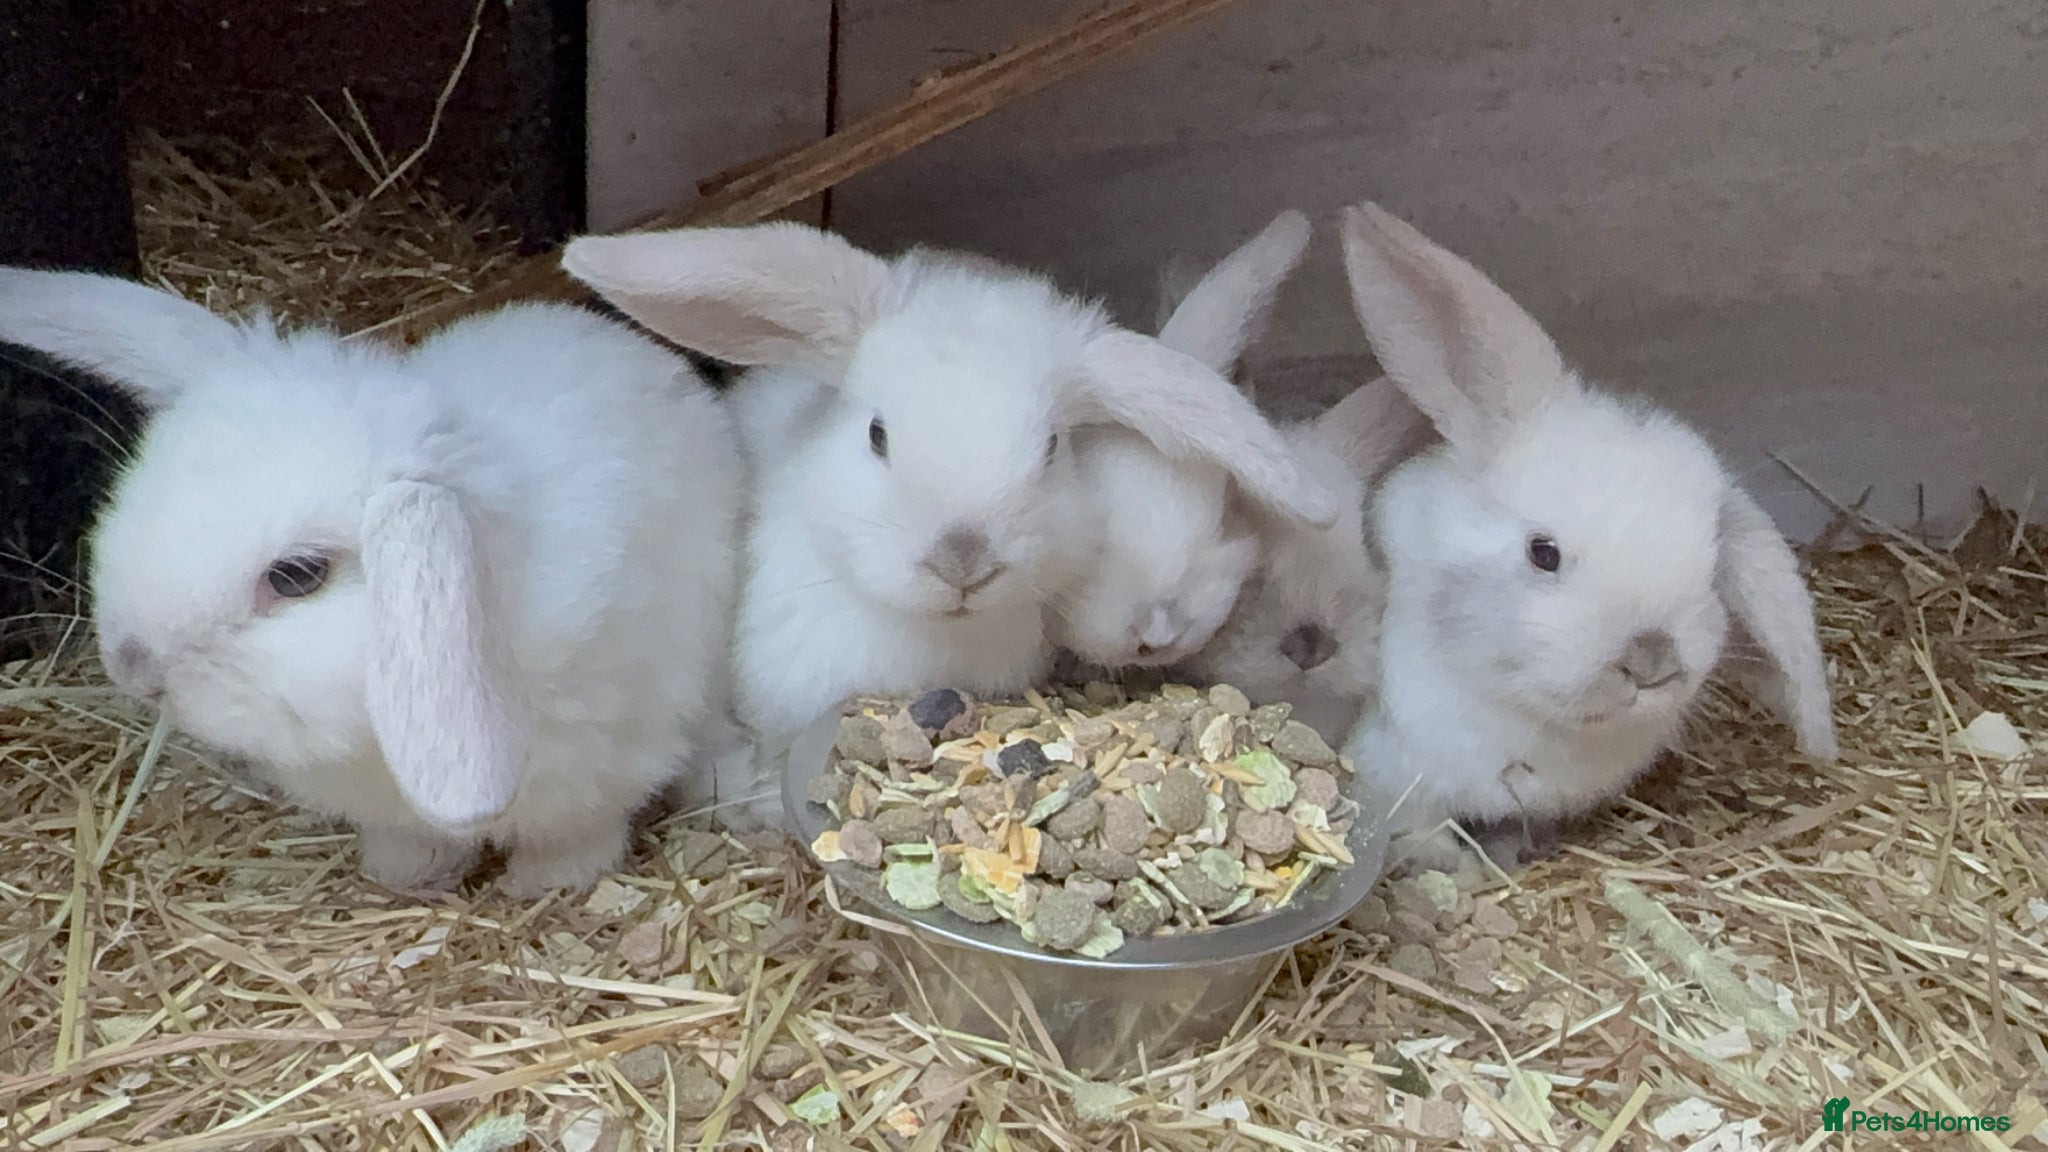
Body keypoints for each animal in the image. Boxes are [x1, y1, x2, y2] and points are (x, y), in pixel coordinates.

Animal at [0, 269, 745, 896]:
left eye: (296, 577)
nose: (130, 666)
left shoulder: (607, 762)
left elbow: (578, 837)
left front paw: (543, 888)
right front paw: (403, 877)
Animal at [1330, 202, 1839, 869]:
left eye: (1711, 566)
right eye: (1542, 553)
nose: (1651, 660)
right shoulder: (1395, 783)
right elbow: (1424, 838)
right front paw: (1463, 872)